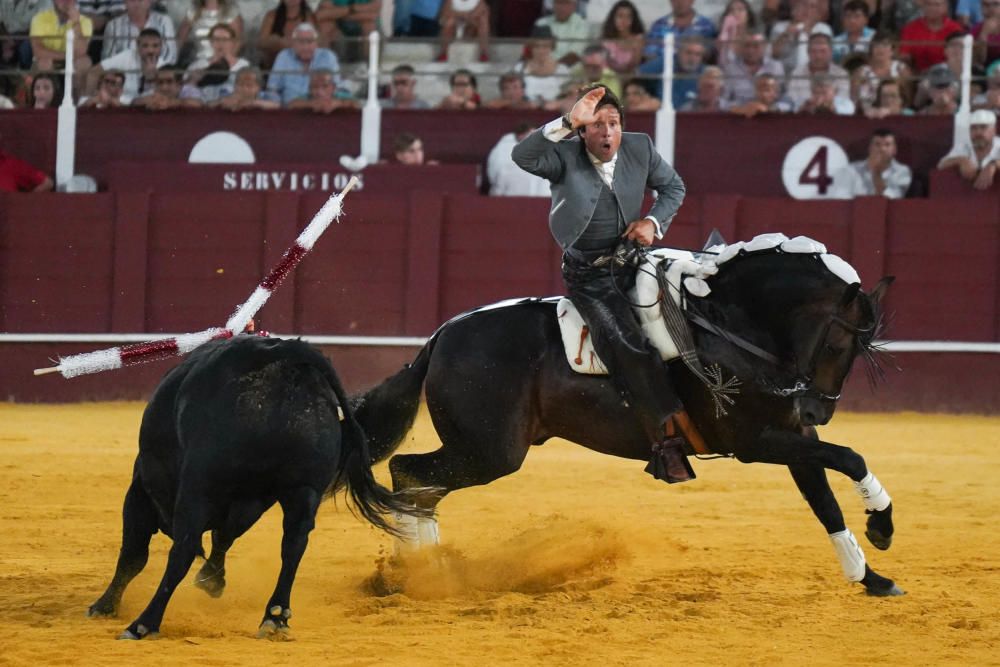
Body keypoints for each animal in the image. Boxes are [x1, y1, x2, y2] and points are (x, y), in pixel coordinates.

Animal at [87, 336, 426, 640]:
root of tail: (286, 355)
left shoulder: (141, 491)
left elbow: (133, 555)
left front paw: (104, 606)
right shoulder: (253, 500)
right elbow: (224, 537)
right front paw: (212, 579)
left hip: (200, 486)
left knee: (182, 549)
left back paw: (144, 624)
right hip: (304, 490)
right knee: (294, 545)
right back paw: (275, 617)